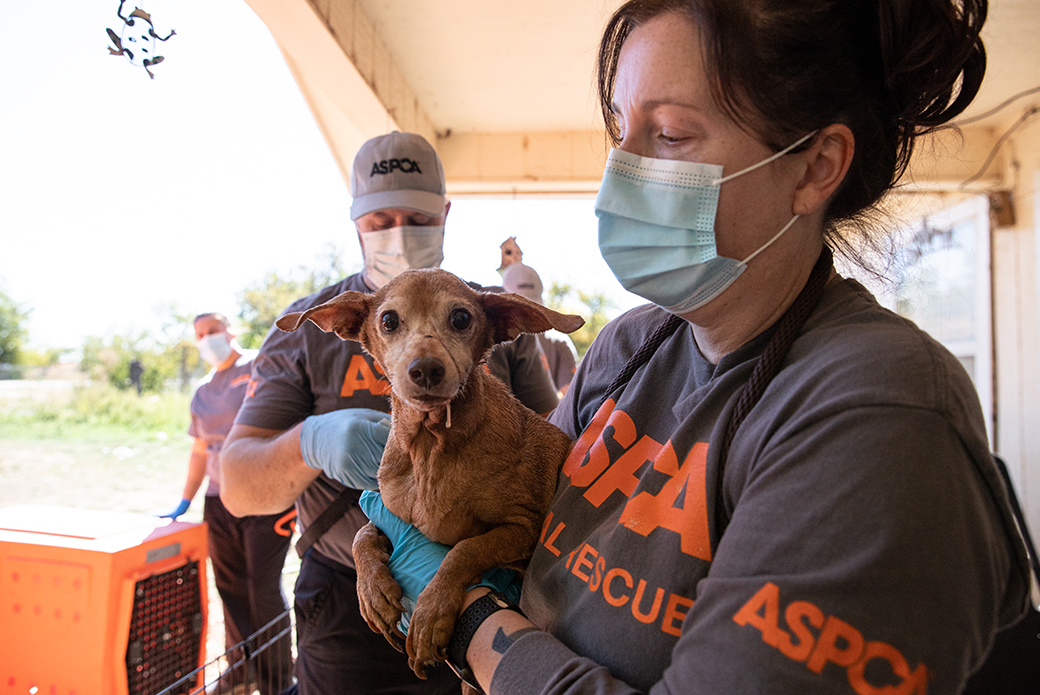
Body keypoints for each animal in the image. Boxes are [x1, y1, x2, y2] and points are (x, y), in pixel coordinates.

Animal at [276, 270, 582, 678]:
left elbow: (465, 550)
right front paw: (372, 590)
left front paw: (432, 610)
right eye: (389, 321)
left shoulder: (525, 528)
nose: (425, 369)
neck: (430, 446)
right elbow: (361, 534)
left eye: (461, 318)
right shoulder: (389, 513)